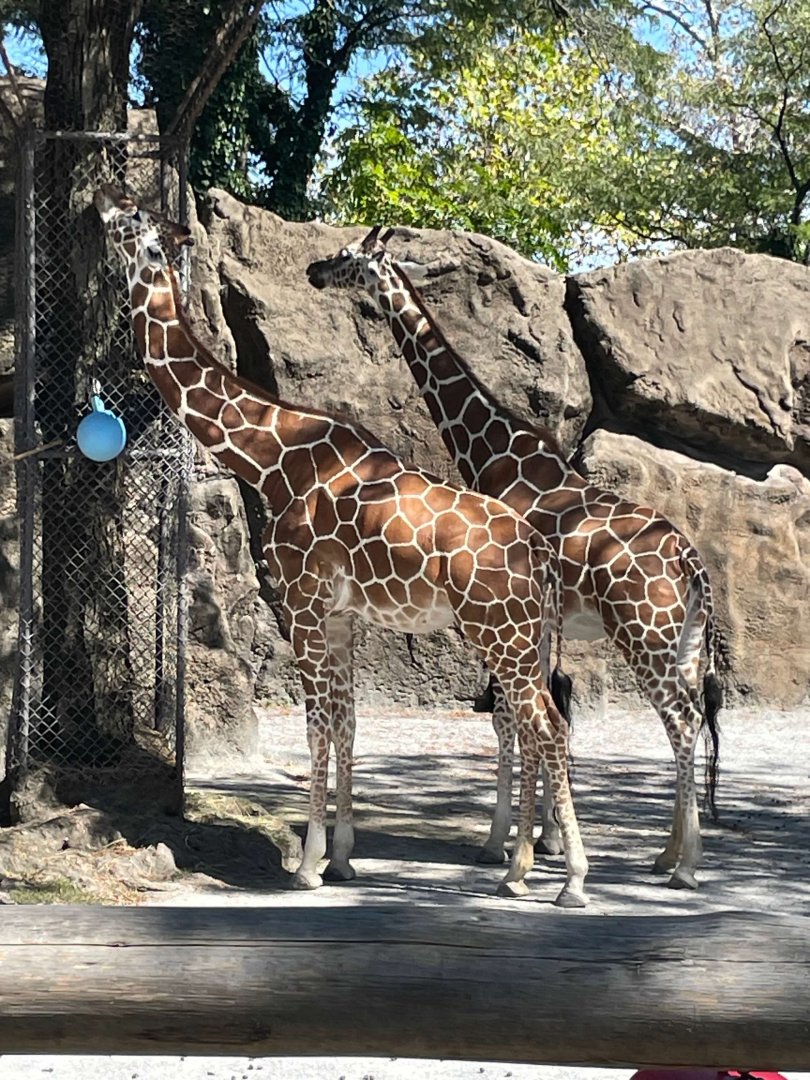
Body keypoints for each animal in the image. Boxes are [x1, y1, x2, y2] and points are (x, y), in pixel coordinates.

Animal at [93, 184, 590, 907]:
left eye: (132, 218)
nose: (100, 200)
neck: (272, 455)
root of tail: (541, 553)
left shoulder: (301, 604)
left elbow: (317, 724)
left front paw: (306, 865)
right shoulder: (341, 615)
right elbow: (348, 721)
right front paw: (345, 859)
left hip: (504, 633)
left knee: (545, 723)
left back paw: (568, 878)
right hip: (519, 636)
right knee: (537, 720)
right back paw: (523, 867)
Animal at [307, 226, 723, 893]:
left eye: (348, 257)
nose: (314, 271)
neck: (497, 453)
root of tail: (691, 560)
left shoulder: (505, 617)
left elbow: (511, 719)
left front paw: (505, 844)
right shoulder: (540, 624)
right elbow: (542, 714)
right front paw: (541, 841)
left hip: (642, 635)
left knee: (680, 721)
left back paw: (684, 867)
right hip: (679, 641)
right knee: (683, 721)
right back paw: (666, 853)